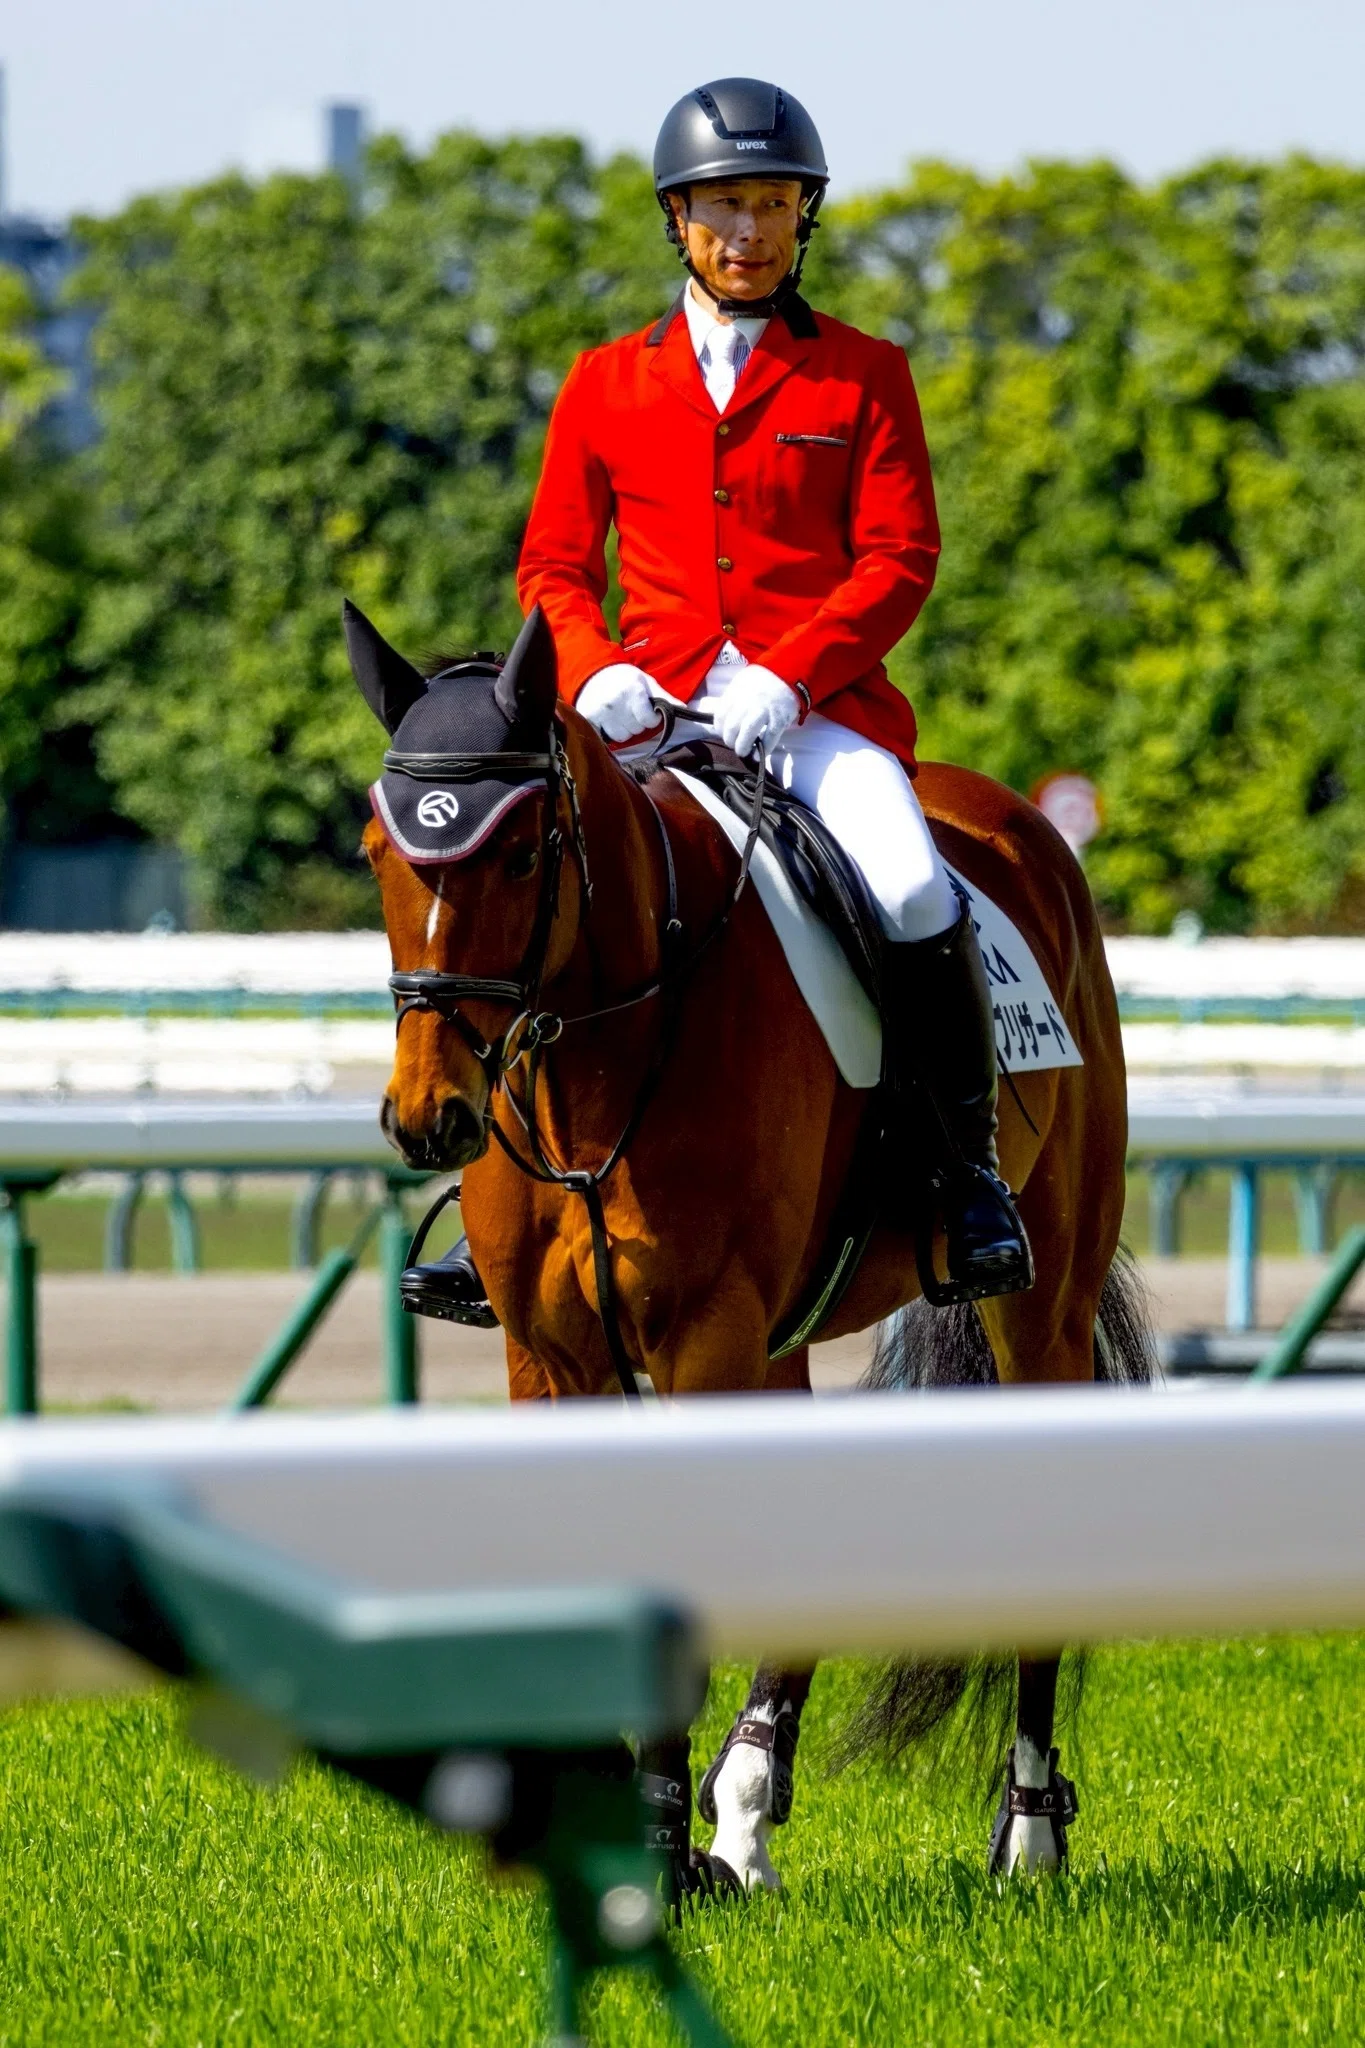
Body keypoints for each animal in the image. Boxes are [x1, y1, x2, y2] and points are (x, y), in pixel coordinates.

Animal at [350, 599, 1151, 1894]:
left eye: (519, 856)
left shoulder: (703, 1338)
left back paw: (1028, 1834)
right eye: (380, 851)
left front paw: (657, 1845)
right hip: (779, 1337)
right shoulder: (552, 1355)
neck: (605, 1051)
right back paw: (747, 1810)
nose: (430, 1116)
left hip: (1041, 1304)